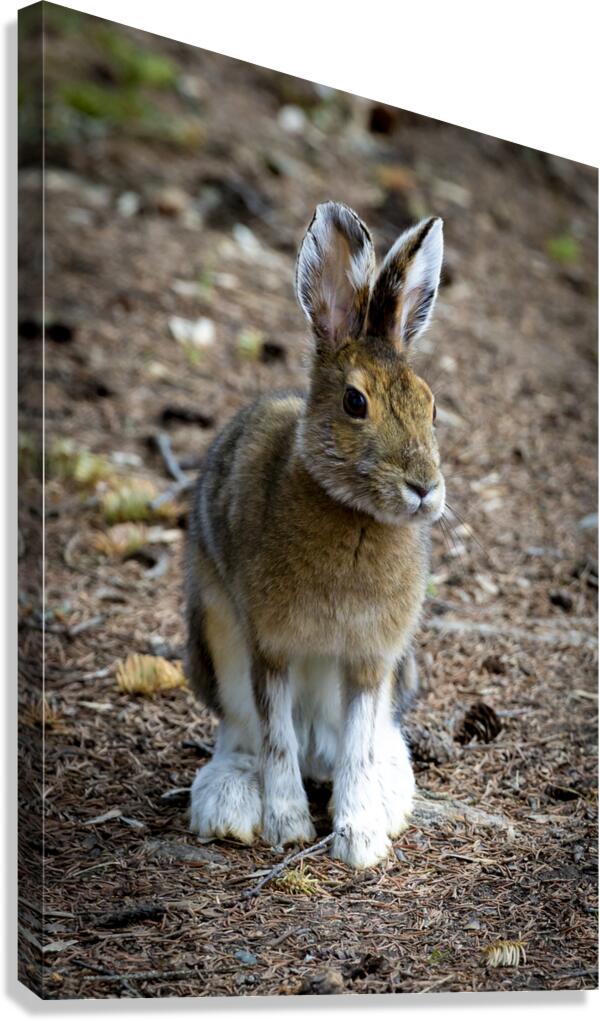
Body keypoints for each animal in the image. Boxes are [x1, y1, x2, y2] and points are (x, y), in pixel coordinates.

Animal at [185, 201, 445, 868]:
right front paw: (288, 827)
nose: (424, 488)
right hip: (216, 642)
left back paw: (389, 793)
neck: (354, 515)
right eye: (355, 402)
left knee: (365, 741)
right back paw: (229, 805)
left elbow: (357, 745)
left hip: (399, 672)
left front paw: (361, 839)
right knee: (246, 735)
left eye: (431, 407)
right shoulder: (269, 646)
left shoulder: (370, 658)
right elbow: (277, 741)